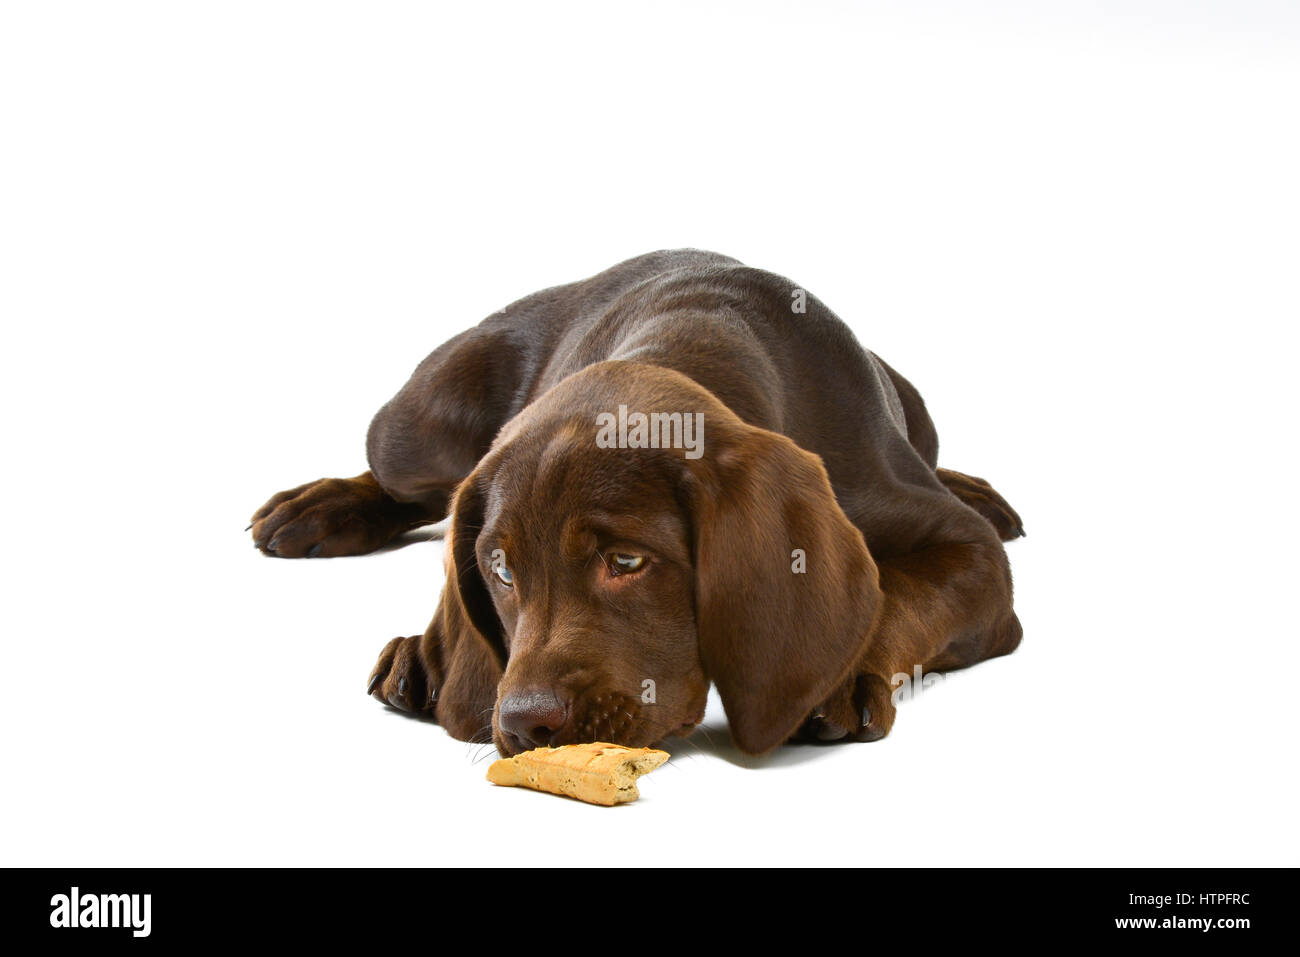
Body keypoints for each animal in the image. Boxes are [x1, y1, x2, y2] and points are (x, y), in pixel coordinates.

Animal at [248, 250, 1024, 759]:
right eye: (501, 571)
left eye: (626, 561)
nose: (525, 724)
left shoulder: (971, 552)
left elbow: (900, 597)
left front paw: (839, 676)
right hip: (412, 426)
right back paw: (331, 519)